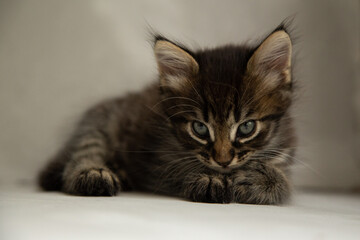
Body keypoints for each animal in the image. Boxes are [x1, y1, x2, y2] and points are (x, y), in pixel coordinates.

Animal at [38, 22, 296, 204]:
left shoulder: (284, 152)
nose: (222, 162)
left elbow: (284, 181)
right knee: (84, 153)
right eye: (199, 128)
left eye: (246, 127)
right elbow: (182, 168)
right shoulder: (160, 161)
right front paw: (210, 178)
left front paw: (262, 179)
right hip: (98, 122)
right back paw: (94, 174)